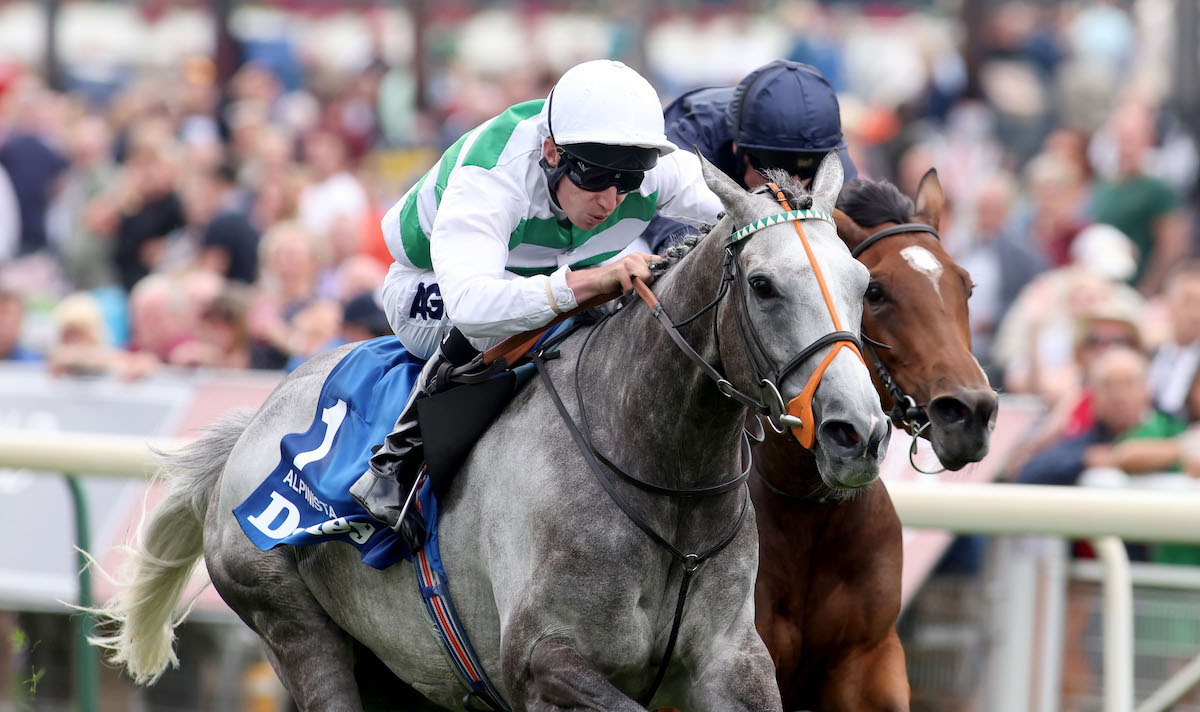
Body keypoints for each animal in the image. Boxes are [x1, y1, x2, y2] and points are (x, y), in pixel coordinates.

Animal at [93, 152, 888, 705]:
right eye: (763, 285)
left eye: (864, 284)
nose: (858, 433)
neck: (665, 484)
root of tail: (252, 423)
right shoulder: (541, 662)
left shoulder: (732, 661)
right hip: (294, 627)